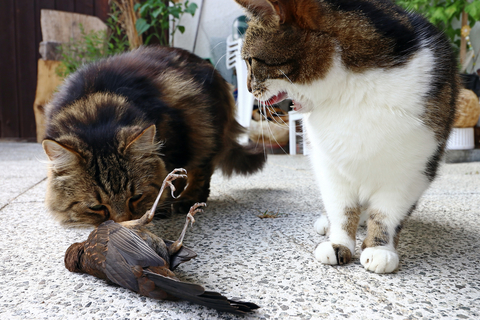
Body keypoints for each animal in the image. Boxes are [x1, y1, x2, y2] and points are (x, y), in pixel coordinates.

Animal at [42, 46, 264, 228]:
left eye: (136, 197)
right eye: (97, 207)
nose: (124, 224)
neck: (95, 110)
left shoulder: (175, 136)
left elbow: (171, 175)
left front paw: (163, 205)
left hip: (205, 131)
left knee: (202, 170)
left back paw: (187, 200)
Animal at [234, 0, 460, 272]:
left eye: (250, 60)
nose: (248, 88)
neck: (350, 88)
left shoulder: (411, 170)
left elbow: (387, 213)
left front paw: (379, 248)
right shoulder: (328, 164)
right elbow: (341, 208)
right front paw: (338, 242)